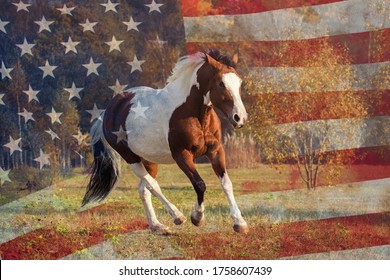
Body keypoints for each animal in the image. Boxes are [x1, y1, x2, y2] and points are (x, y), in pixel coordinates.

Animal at [81, 49, 248, 233]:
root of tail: (106, 113)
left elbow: (226, 183)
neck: (192, 113)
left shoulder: (215, 150)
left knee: (144, 189)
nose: (240, 118)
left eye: (239, 82)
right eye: (221, 84)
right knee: (152, 185)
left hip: (149, 159)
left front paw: (240, 223)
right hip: (131, 158)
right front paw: (197, 217)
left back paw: (157, 226)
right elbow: (199, 184)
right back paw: (177, 216)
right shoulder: (182, 154)